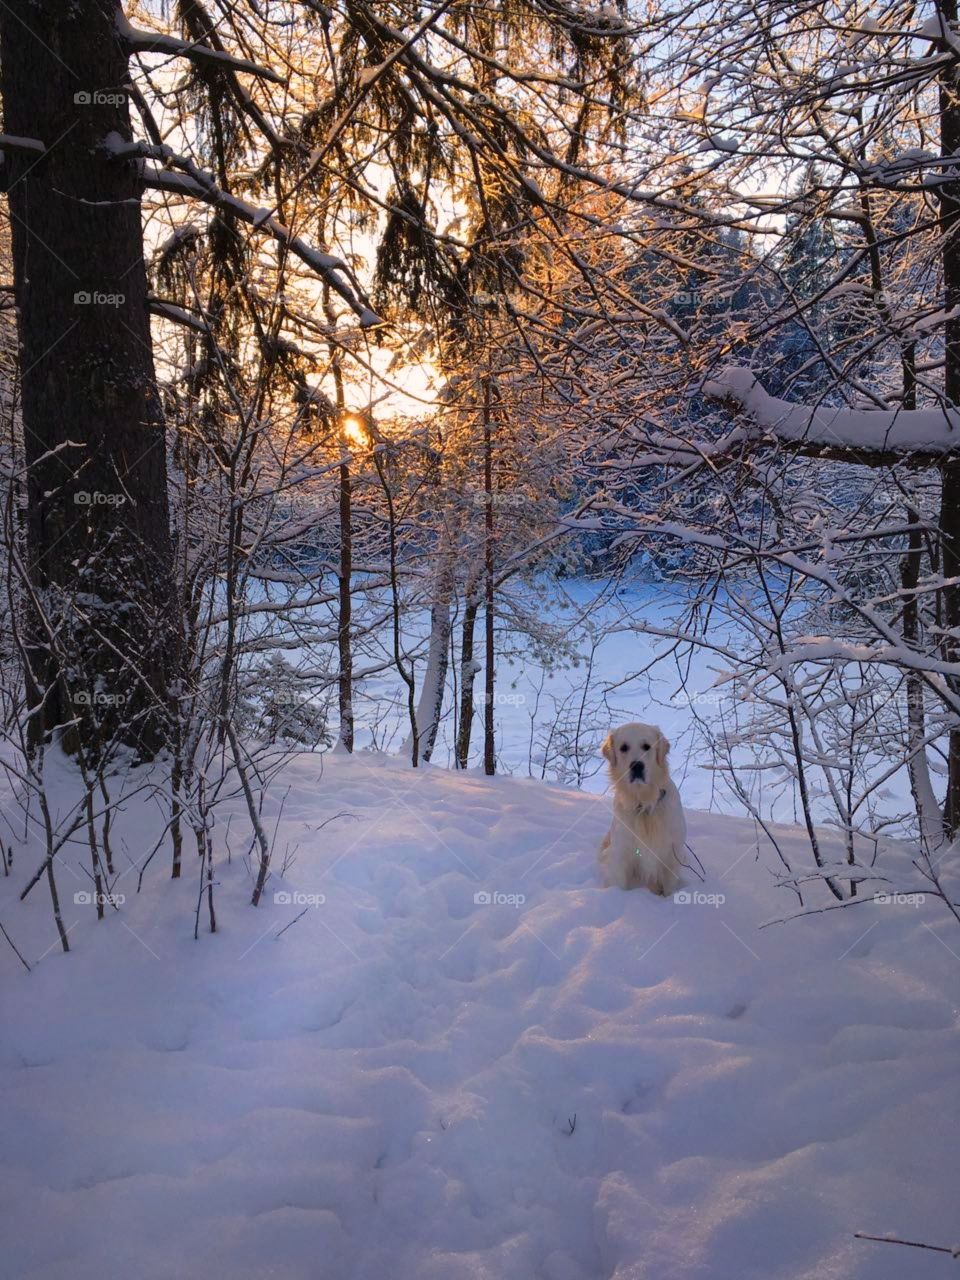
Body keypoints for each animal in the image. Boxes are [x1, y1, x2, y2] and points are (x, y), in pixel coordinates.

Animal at [601, 721, 686, 890]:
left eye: (647, 746)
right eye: (623, 747)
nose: (637, 766)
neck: (643, 802)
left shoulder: (671, 854)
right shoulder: (620, 854)